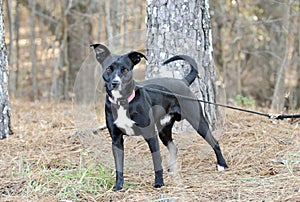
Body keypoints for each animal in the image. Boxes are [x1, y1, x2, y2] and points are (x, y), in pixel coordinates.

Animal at [90, 44, 226, 191]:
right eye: (108, 69)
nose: (115, 83)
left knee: (214, 141)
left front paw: (159, 183)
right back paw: (172, 168)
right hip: (163, 130)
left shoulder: (151, 136)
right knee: (173, 147)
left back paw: (222, 165)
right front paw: (118, 186)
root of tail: (183, 81)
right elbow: (119, 166)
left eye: (125, 69)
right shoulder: (116, 140)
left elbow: (157, 162)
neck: (123, 102)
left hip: (197, 121)